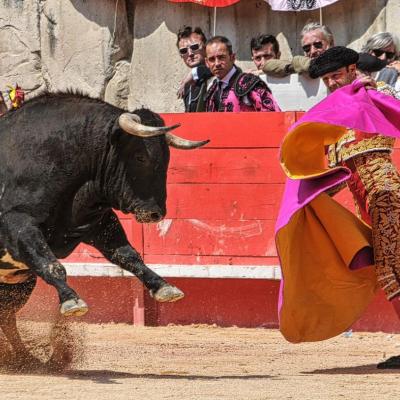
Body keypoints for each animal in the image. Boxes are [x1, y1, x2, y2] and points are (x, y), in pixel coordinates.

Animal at [0, 93, 209, 356]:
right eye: (140, 157)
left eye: (167, 159)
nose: (156, 214)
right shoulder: (18, 223)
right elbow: (51, 265)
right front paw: (72, 301)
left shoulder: (100, 224)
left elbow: (128, 255)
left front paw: (163, 287)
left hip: (16, 285)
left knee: (7, 317)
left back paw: (27, 358)